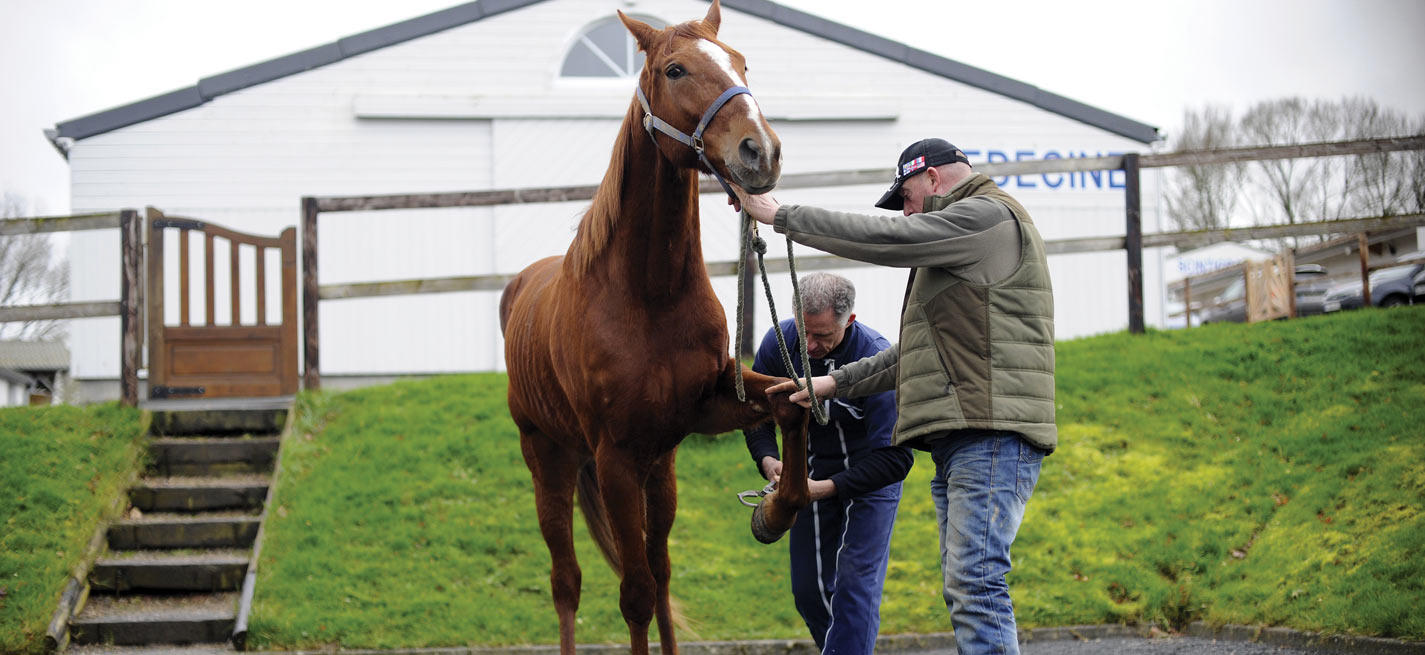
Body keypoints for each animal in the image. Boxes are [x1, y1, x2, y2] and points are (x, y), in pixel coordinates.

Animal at [501, 2, 809, 652]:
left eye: (742, 62)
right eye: (674, 69)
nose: (761, 152)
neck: (648, 297)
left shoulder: (703, 408)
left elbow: (789, 405)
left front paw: (776, 510)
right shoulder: (615, 458)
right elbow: (634, 594)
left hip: (658, 469)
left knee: (659, 568)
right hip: (549, 459)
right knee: (567, 582)